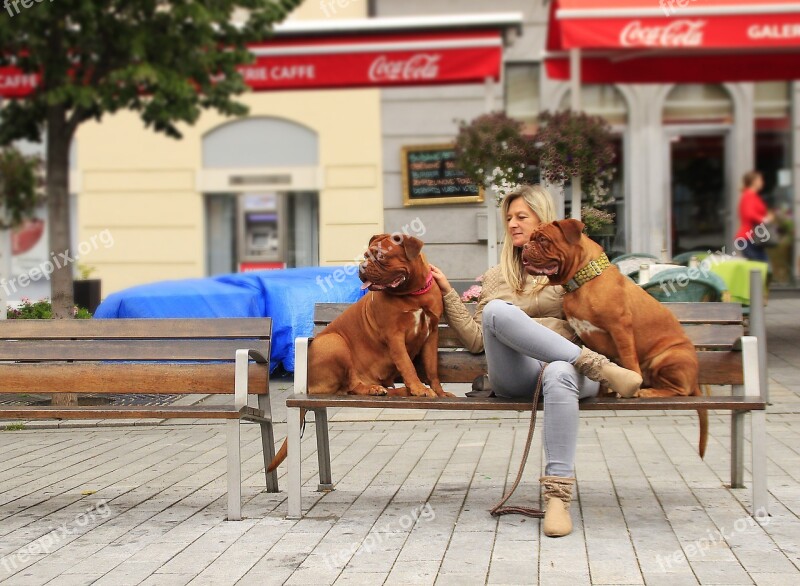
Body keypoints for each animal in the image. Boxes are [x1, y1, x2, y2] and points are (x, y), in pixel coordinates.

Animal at [268, 233, 450, 470]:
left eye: (381, 256)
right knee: (352, 385)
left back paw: (396, 390)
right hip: (335, 342)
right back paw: (378, 389)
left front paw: (439, 391)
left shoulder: (432, 333)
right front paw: (420, 389)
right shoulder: (395, 336)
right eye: (365, 255)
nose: (362, 266)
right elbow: (408, 365)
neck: (413, 294)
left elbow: (431, 367)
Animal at [520, 218, 708, 456]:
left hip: (667, 357)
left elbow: (628, 359)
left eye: (543, 240)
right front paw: (603, 392)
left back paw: (647, 391)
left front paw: (630, 387)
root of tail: (695, 379)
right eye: (530, 239)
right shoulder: (589, 338)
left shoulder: (620, 328)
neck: (582, 281)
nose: (525, 246)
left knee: (680, 391)